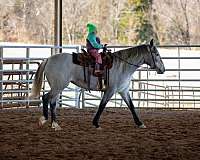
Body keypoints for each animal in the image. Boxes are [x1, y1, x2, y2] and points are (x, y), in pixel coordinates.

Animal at [29, 39, 164, 131]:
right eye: (157, 54)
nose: (163, 69)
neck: (122, 66)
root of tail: (49, 59)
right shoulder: (110, 90)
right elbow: (102, 106)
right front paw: (96, 123)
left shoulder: (123, 90)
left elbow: (131, 106)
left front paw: (140, 123)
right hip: (58, 86)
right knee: (46, 98)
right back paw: (44, 120)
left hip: (58, 87)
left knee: (52, 102)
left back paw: (55, 124)